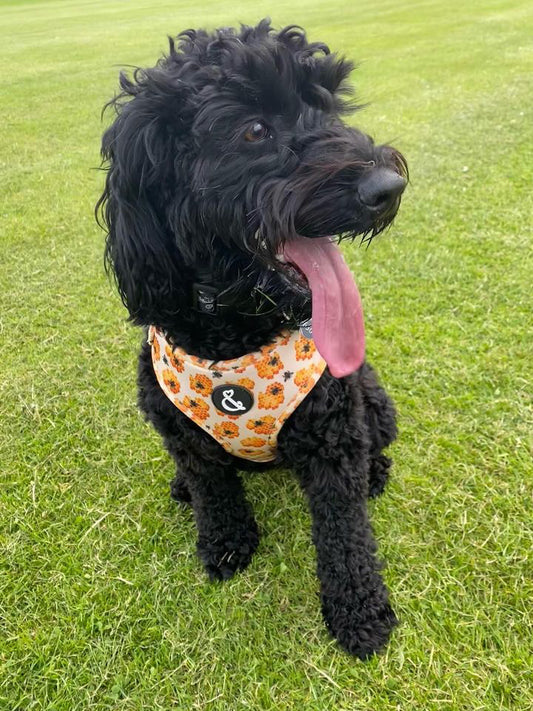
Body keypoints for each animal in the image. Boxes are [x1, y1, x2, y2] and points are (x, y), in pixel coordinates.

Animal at [97, 18, 408, 660]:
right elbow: (213, 490)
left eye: (329, 104)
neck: (235, 335)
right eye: (255, 130)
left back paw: (376, 473)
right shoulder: (180, 433)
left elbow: (345, 534)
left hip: (372, 400)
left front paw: (360, 612)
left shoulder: (335, 437)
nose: (388, 187)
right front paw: (225, 543)